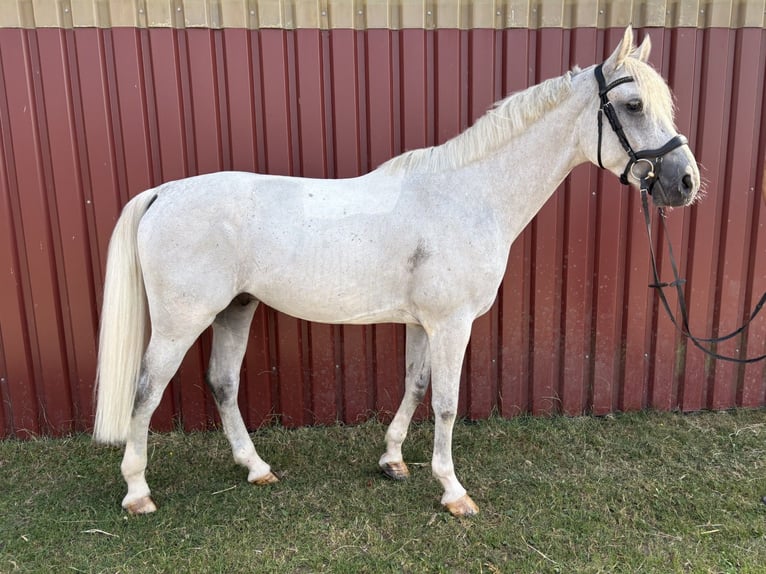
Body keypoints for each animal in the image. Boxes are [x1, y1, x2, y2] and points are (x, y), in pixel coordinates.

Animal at [94, 27, 700, 517]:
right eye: (632, 104)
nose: (686, 182)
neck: (468, 195)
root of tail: (164, 192)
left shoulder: (422, 322)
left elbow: (415, 384)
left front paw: (392, 461)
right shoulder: (452, 323)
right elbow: (448, 402)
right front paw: (453, 491)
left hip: (235, 309)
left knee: (222, 383)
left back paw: (256, 468)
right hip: (181, 320)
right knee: (146, 390)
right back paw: (138, 492)